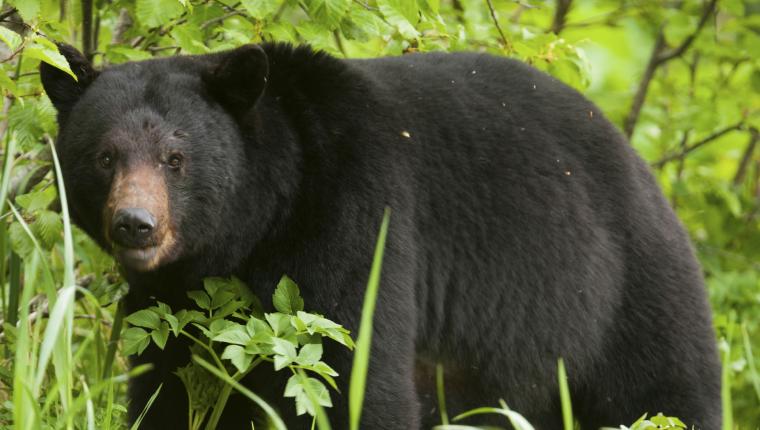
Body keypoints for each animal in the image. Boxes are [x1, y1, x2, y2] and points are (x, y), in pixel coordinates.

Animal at [40, 44, 720, 430]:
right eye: (105, 156)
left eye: (175, 158)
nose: (135, 224)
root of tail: (642, 167)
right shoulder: (175, 296)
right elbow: (168, 381)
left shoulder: (357, 216)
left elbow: (354, 373)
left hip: (623, 295)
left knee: (664, 394)